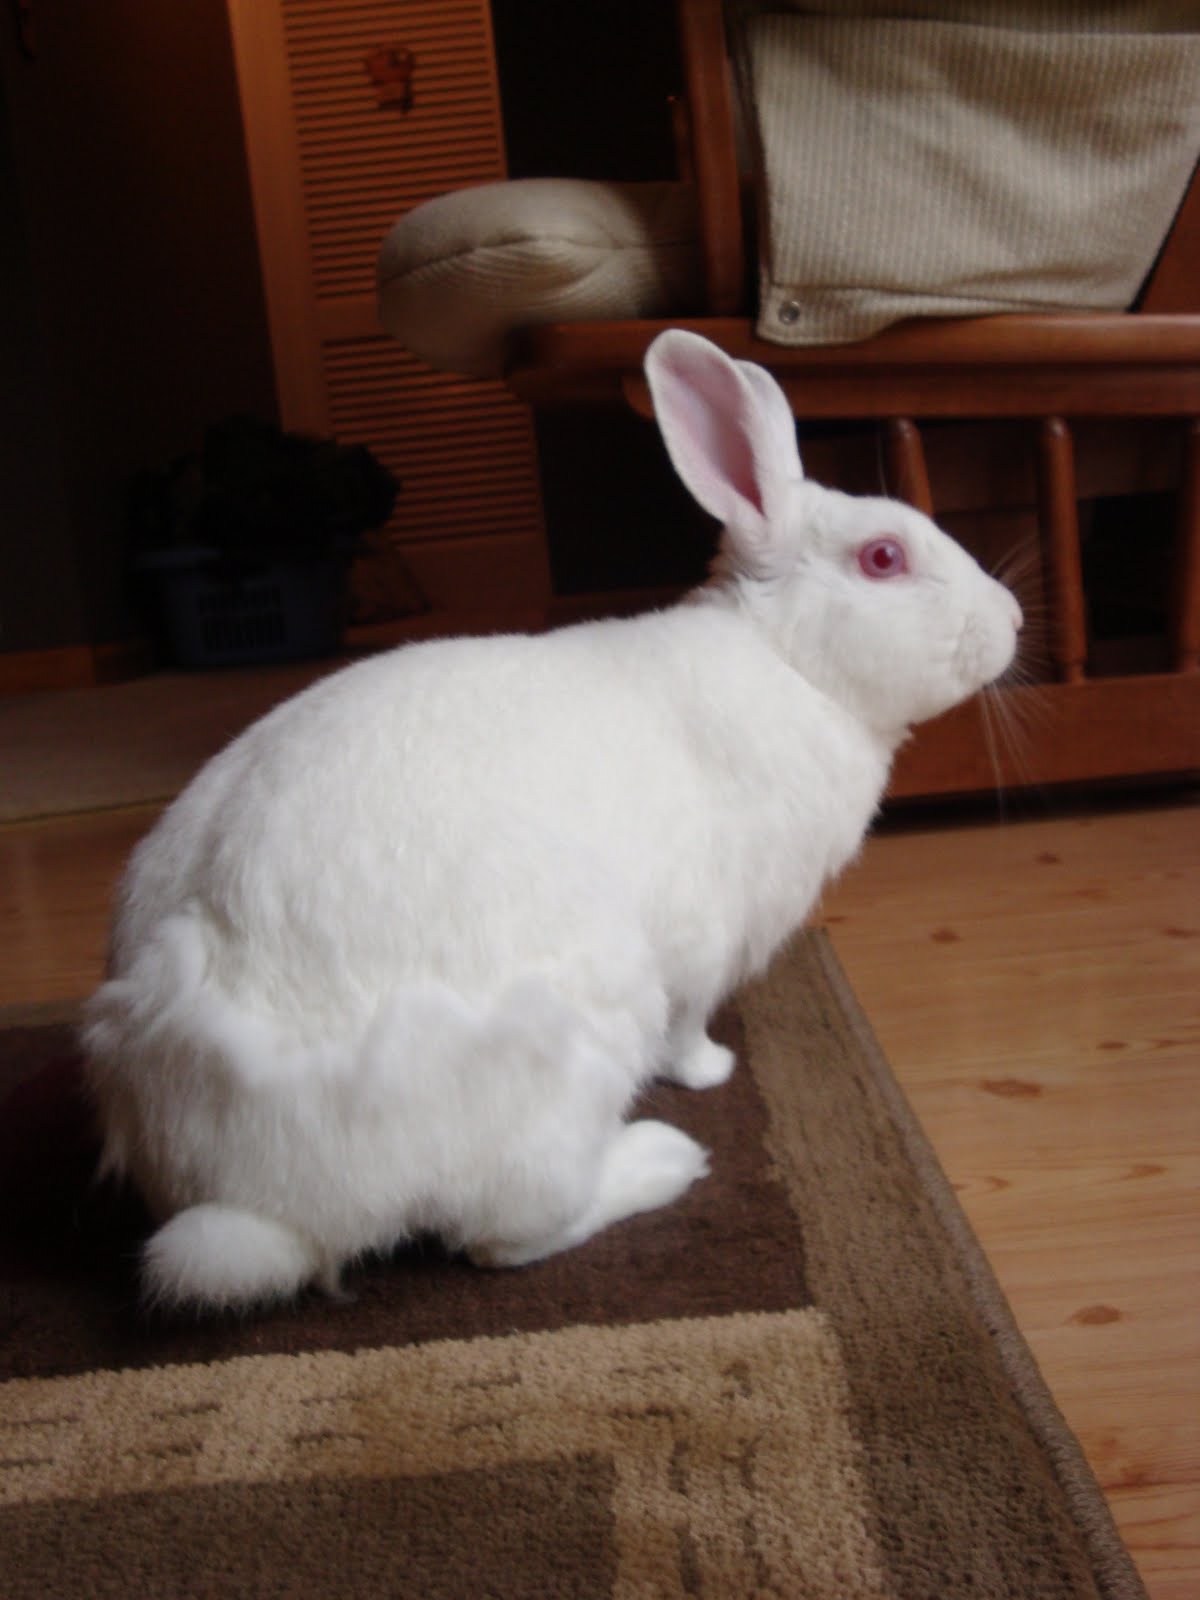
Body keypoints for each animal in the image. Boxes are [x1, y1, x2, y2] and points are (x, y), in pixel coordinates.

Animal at [82, 329, 1022, 1314]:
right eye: (883, 558)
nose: (1012, 621)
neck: (786, 659)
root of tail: (256, 1205)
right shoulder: (704, 944)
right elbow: (690, 1026)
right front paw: (711, 1073)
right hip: (585, 1027)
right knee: (510, 1232)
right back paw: (660, 1161)